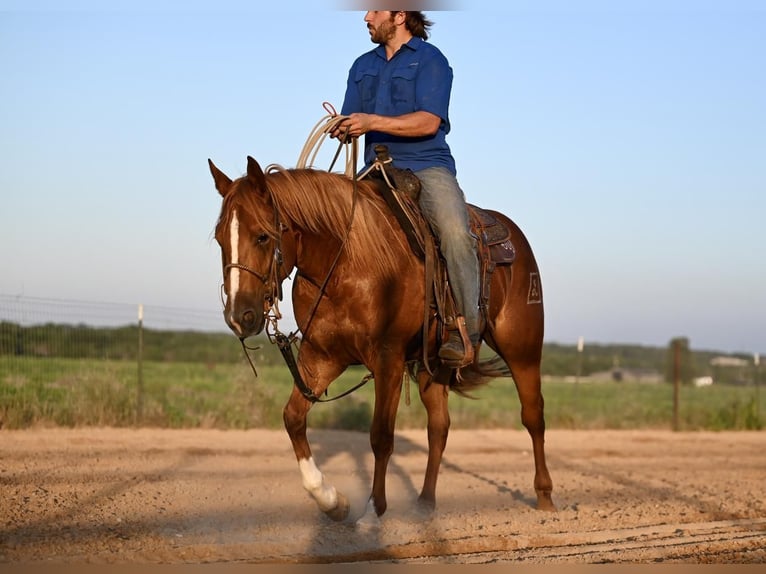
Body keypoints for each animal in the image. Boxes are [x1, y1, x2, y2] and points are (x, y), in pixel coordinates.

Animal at [210, 155, 560, 524]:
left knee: (533, 416)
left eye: (263, 236)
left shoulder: (387, 359)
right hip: (434, 365)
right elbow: (293, 417)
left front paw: (373, 511)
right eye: (220, 239)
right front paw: (331, 500)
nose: (239, 316)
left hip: (522, 349)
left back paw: (545, 497)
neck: (348, 262)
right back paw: (425, 503)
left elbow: (380, 436)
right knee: (439, 426)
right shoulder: (321, 356)